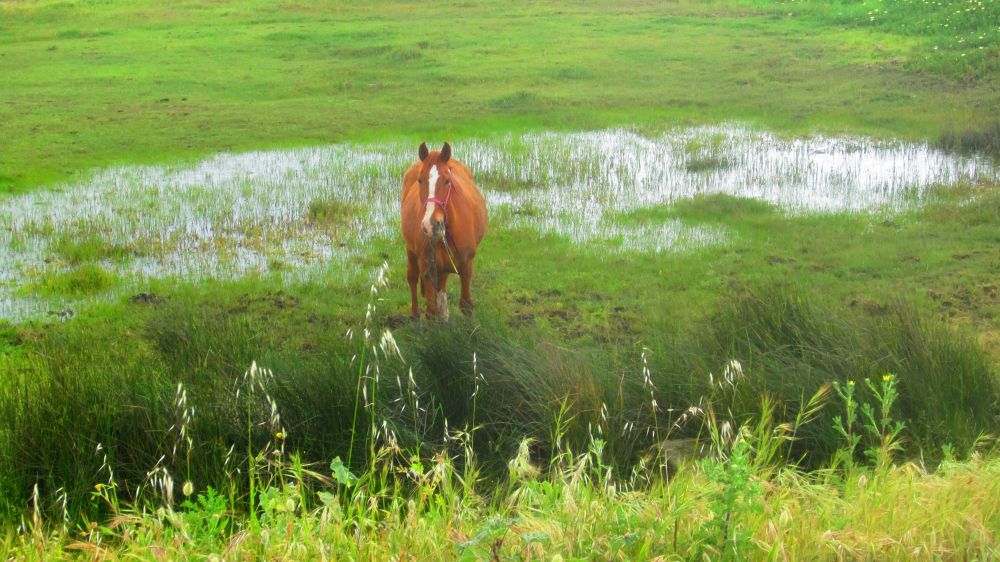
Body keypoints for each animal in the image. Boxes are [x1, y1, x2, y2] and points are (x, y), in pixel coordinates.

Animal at [401, 142, 488, 319]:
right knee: (412, 278)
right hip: (411, 251)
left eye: (448, 181)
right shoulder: (428, 267)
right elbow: (431, 312)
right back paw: (415, 316)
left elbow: (466, 305)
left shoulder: (466, 264)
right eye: (420, 180)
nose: (431, 225)